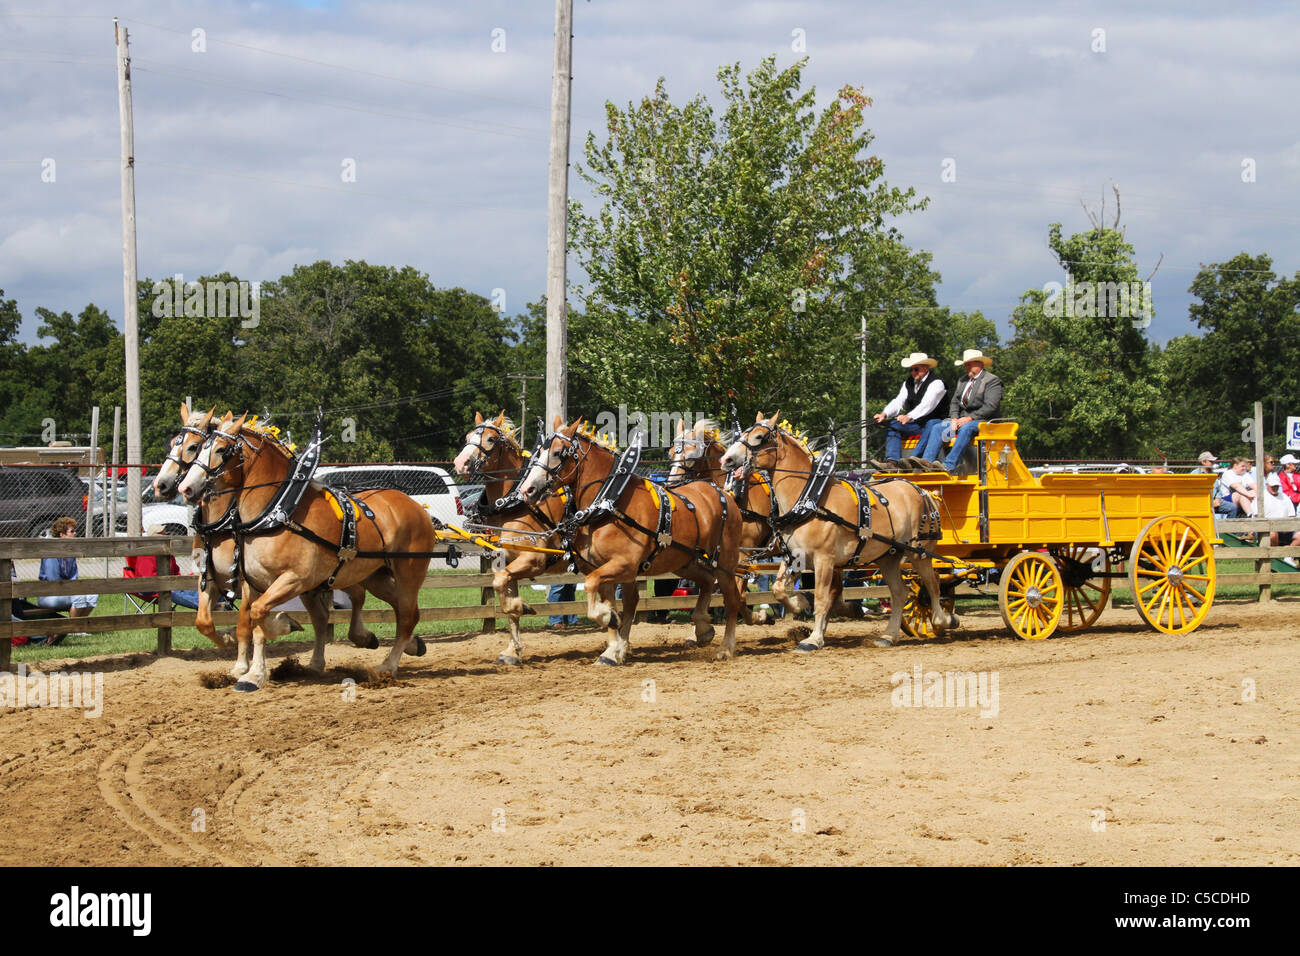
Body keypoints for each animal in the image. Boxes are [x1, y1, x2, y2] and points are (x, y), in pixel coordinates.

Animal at [454, 411, 572, 665]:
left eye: (490, 439)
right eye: (468, 437)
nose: (460, 463)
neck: (512, 502)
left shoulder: (533, 560)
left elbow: (502, 591)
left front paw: (523, 607)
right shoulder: (506, 564)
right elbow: (506, 602)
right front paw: (512, 650)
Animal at [514, 418, 743, 665]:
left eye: (558, 453)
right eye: (538, 452)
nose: (527, 489)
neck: (610, 501)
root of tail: (723, 493)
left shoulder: (625, 565)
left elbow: (593, 586)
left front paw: (609, 620)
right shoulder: (604, 568)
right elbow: (612, 601)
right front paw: (613, 649)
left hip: (725, 563)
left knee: (732, 599)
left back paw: (726, 647)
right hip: (684, 562)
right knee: (707, 581)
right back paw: (702, 628)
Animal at [717, 411, 951, 650]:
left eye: (759, 437)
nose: (726, 460)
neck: (810, 501)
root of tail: (923, 491)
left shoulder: (824, 560)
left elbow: (822, 598)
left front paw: (813, 639)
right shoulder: (794, 556)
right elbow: (779, 589)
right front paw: (800, 603)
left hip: (919, 552)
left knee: (932, 583)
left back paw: (942, 620)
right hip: (889, 557)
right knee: (900, 593)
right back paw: (888, 636)